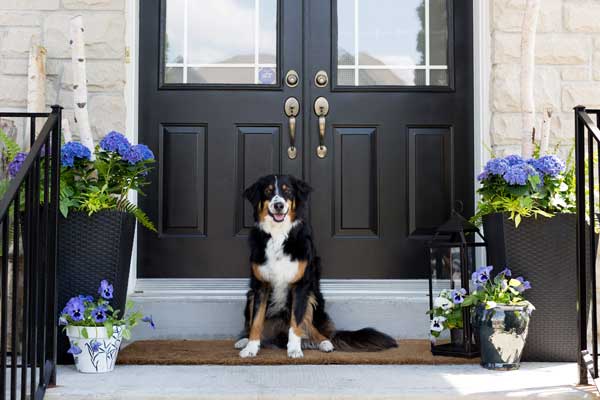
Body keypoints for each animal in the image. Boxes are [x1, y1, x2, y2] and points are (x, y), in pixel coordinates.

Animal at [234, 173, 398, 358]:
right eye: (268, 191)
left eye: (287, 191)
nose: (278, 205)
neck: (278, 234)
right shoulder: (260, 286)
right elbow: (256, 321)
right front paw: (251, 348)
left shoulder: (300, 286)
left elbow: (296, 323)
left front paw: (295, 350)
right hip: (250, 296)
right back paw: (244, 340)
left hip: (312, 297)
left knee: (314, 329)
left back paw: (324, 343)